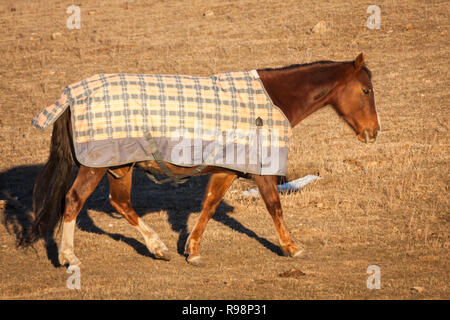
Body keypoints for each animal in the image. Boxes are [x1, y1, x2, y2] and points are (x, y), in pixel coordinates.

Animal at [28, 53, 380, 268]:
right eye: (366, 90)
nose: (373, 132)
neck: (271, 102)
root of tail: (73, 96)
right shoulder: (262, 169)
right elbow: (274, 206)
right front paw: (292, 247)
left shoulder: (227, 170)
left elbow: (209, 205)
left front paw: (193, 251)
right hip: (97, 165)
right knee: (74, 200)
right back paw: (70, 256)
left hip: (119, 167)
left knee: (120, 202)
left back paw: (158, 247)